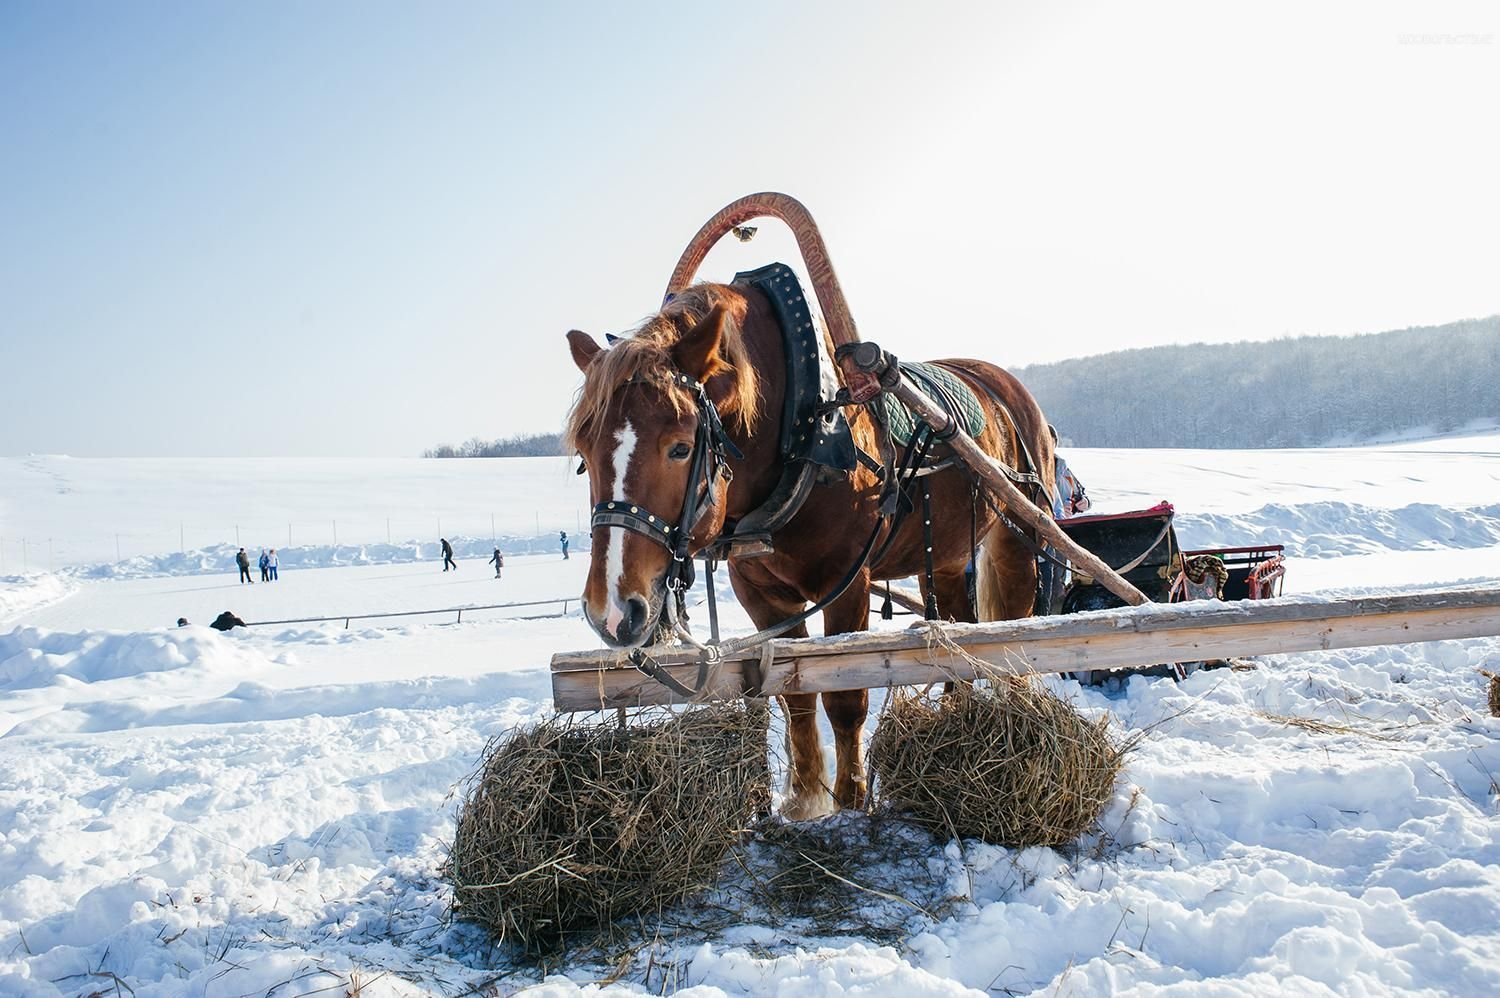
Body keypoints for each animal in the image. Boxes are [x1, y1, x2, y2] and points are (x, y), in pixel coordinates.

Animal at [564, 277, 1056, 816]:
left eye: (680, 447)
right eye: (584, 453)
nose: (611, 611)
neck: (802, 439)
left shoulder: (848, 585)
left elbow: (844, 697)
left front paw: (850, 800)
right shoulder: (761, 594)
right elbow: (795, 693)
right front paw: (805, 800)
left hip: (1019, 535)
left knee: (1018, 635)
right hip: (945, 559)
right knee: (963, 635)